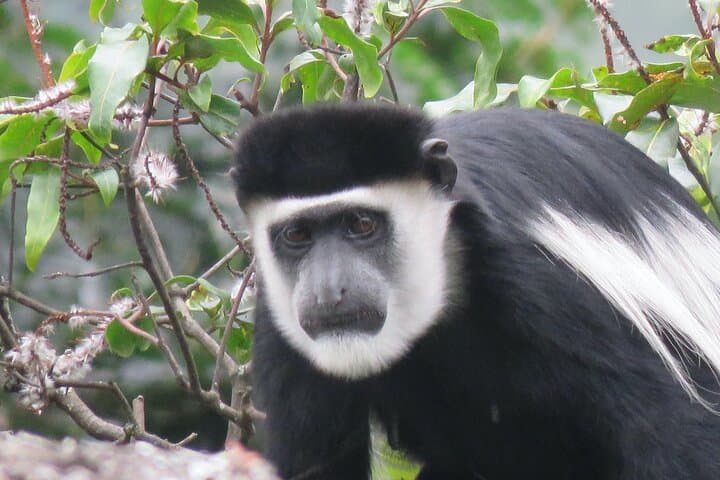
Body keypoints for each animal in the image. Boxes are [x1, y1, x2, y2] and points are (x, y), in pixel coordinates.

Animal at [231, 104, 720, 479]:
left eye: (362, 224)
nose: (331, 290)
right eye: (297, 235)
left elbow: (673, 429)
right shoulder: (282, 326)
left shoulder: (545, 284)